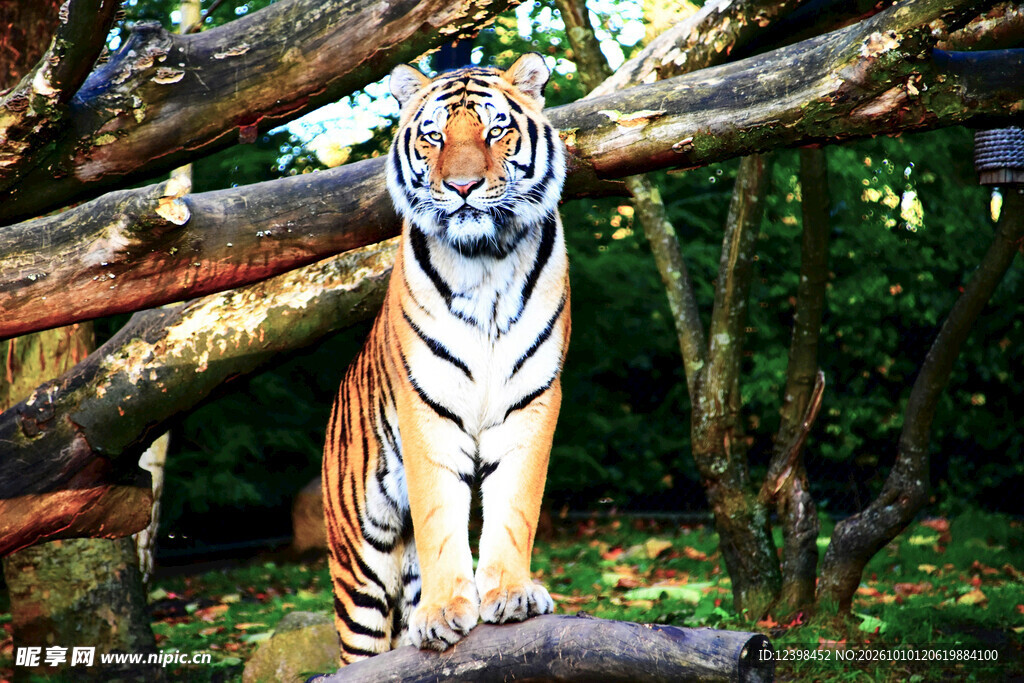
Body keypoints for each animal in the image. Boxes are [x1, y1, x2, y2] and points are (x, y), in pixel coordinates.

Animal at [321, 52, 570, 663]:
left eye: (495, 130)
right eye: (433, 135)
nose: (461, 187)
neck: (486, 260)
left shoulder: (530, 399)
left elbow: (515, 505)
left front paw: (510, 594)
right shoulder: (426, 404)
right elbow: (440, 512)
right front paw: (441, 615)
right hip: (360, 561)